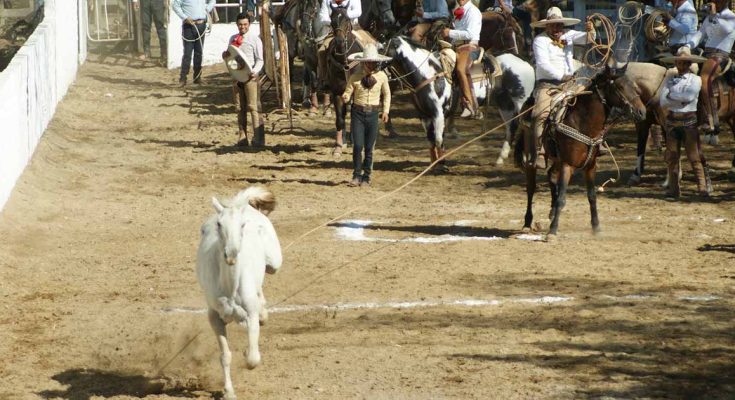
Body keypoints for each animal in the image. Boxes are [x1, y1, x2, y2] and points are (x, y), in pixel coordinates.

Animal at [197, 187, 284, 400]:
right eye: (219, 224)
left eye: (242, 225)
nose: (231, 254)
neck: (230, 286)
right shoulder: (215, 318)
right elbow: (225, 356)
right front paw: (228, 391)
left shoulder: (250, 313)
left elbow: (253, 357)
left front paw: (247, 354)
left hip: (274, 262)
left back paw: (263, 313)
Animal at [516, 65, 648, 238]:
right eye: (619, 86)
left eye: (633, 85)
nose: (642, 112)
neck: (582, 122)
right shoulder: (567, 165)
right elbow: (562, 198)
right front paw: (552, 230)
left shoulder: (590, 166)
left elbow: (591, 196)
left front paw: (596, 227)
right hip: (532, 155)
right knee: (531, 187)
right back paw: (527, 223)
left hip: (558, 159)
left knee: (551, 175)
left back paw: (551, 212)